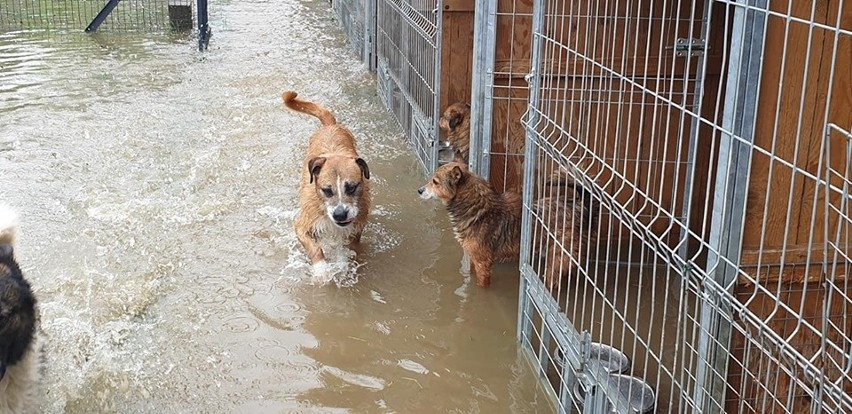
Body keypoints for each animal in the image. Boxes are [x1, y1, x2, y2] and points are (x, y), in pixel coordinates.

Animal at [282, 92, 370, 284]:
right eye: (327, 190)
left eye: (352, 187)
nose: (340, 214)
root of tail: (330, 126)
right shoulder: (303, 225)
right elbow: (315, 248)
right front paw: (322, 270)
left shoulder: (356, 230)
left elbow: (346, 250)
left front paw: (342, 266)